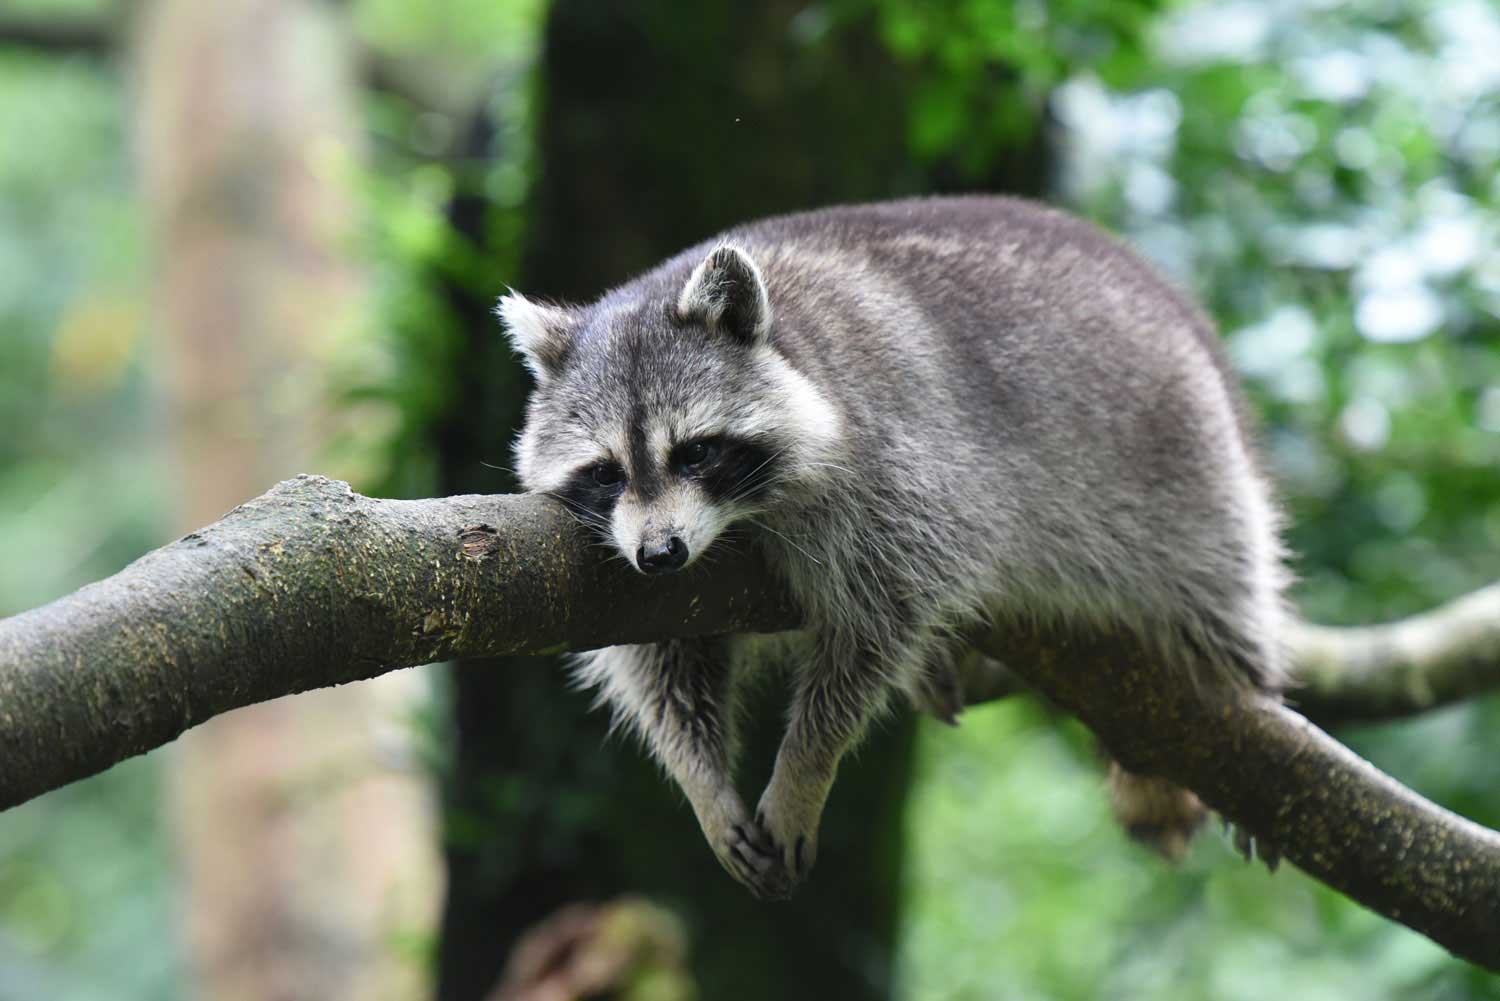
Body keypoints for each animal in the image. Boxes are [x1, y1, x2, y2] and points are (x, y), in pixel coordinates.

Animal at [495, 195, 1290, 900]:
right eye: (606, 470)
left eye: (695, 452)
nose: (660, 555)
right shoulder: (648, 581)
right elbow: (663, 670)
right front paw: (702, 781)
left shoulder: (898, 473)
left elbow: (876, 627)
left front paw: (806, 764)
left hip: (1188, 470)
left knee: (1221, 590)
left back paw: (1248, 685)